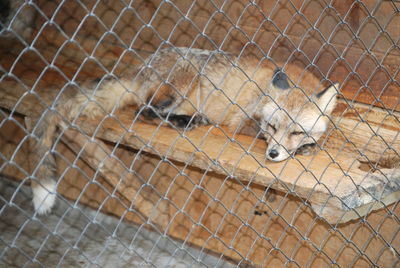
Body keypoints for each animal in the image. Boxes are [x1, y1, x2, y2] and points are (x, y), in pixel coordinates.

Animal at [31, 46, 338, 214]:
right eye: (272, 126)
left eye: (296, 131)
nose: (273, 154)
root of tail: (141, 68)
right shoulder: (242, 120)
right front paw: (307, 149)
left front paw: (310, 145)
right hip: (182, 81)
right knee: (144, 112)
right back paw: (184, 121)